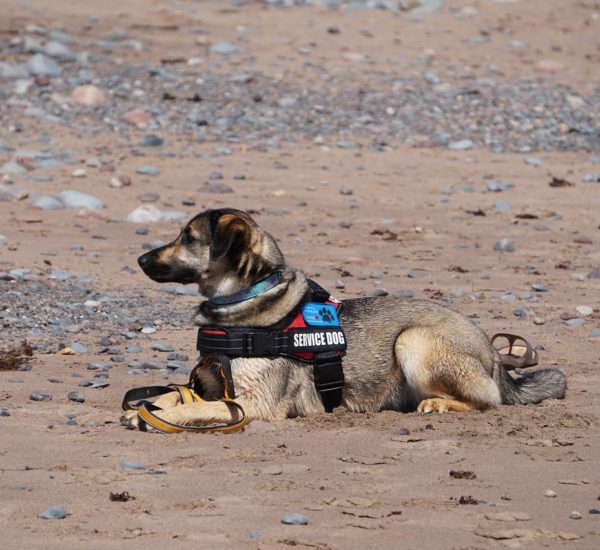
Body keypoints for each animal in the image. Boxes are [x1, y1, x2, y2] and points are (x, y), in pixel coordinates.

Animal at [123, 208, 568, 432]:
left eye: (189, 238)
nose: (139, 259)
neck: (249, 300)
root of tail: (495, 358)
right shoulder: (211, 384)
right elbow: (178, 394)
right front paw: (149, 405)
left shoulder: (254, 404)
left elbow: (199, 409)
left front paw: (161, 416)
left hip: (414, 341)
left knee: (486, 400)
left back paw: (439, 403)